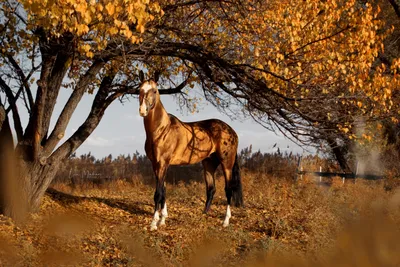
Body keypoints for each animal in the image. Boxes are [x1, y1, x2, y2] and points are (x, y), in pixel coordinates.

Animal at [138, 71, 244, 232]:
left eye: (155, 91)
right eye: (140, 90)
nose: (142, 110)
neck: (162, 130)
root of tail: (231, 131)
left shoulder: (162, 163)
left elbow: (158, 193)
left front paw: (154, 223)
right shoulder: (156, 164)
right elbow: (163, 191)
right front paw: (162, 220)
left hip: (227, 164)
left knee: (228, 189)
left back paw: (225, 221)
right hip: (209, 164)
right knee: (211, 189)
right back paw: (204, 215)